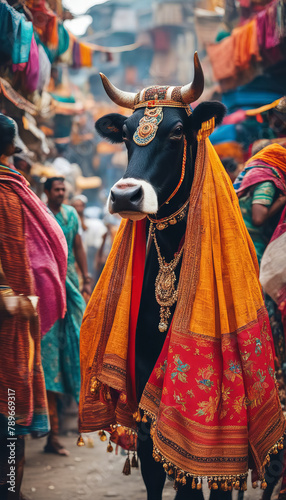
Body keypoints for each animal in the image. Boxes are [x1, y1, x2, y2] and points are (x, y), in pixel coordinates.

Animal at [94, 102, 248, 500]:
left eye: (178, 130)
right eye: (126, 133)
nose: (125, 196)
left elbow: (200, 478)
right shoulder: (144, 395)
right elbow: (155, 470)